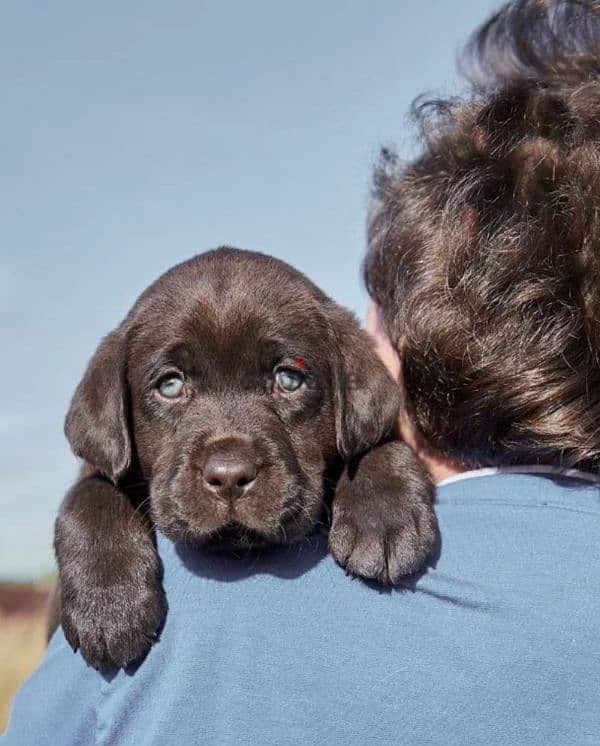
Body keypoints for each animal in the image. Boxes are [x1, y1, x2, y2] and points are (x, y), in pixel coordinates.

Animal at [55, 247, 436, 664]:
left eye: (288, 379)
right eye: (170, 386)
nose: (229, 476)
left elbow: (376, 442)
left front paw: (382, 517)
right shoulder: (100, 466)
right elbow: (91, 491)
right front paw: (108, 602)